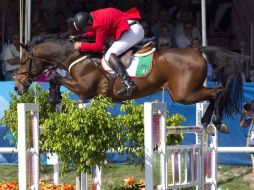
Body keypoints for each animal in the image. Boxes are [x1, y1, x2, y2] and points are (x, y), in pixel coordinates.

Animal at [14, 37, 244, 136]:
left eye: (24, 60)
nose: (17, 87)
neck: (75, 57)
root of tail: (198, 51)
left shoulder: (82, 87)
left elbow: (54, 78)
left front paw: (55, 101)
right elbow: (55, 79)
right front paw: (57, 101)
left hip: (184, 94)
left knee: (217, 92)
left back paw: (214, 122)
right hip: (186, 93)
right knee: (215, 93)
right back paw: (210, 123)